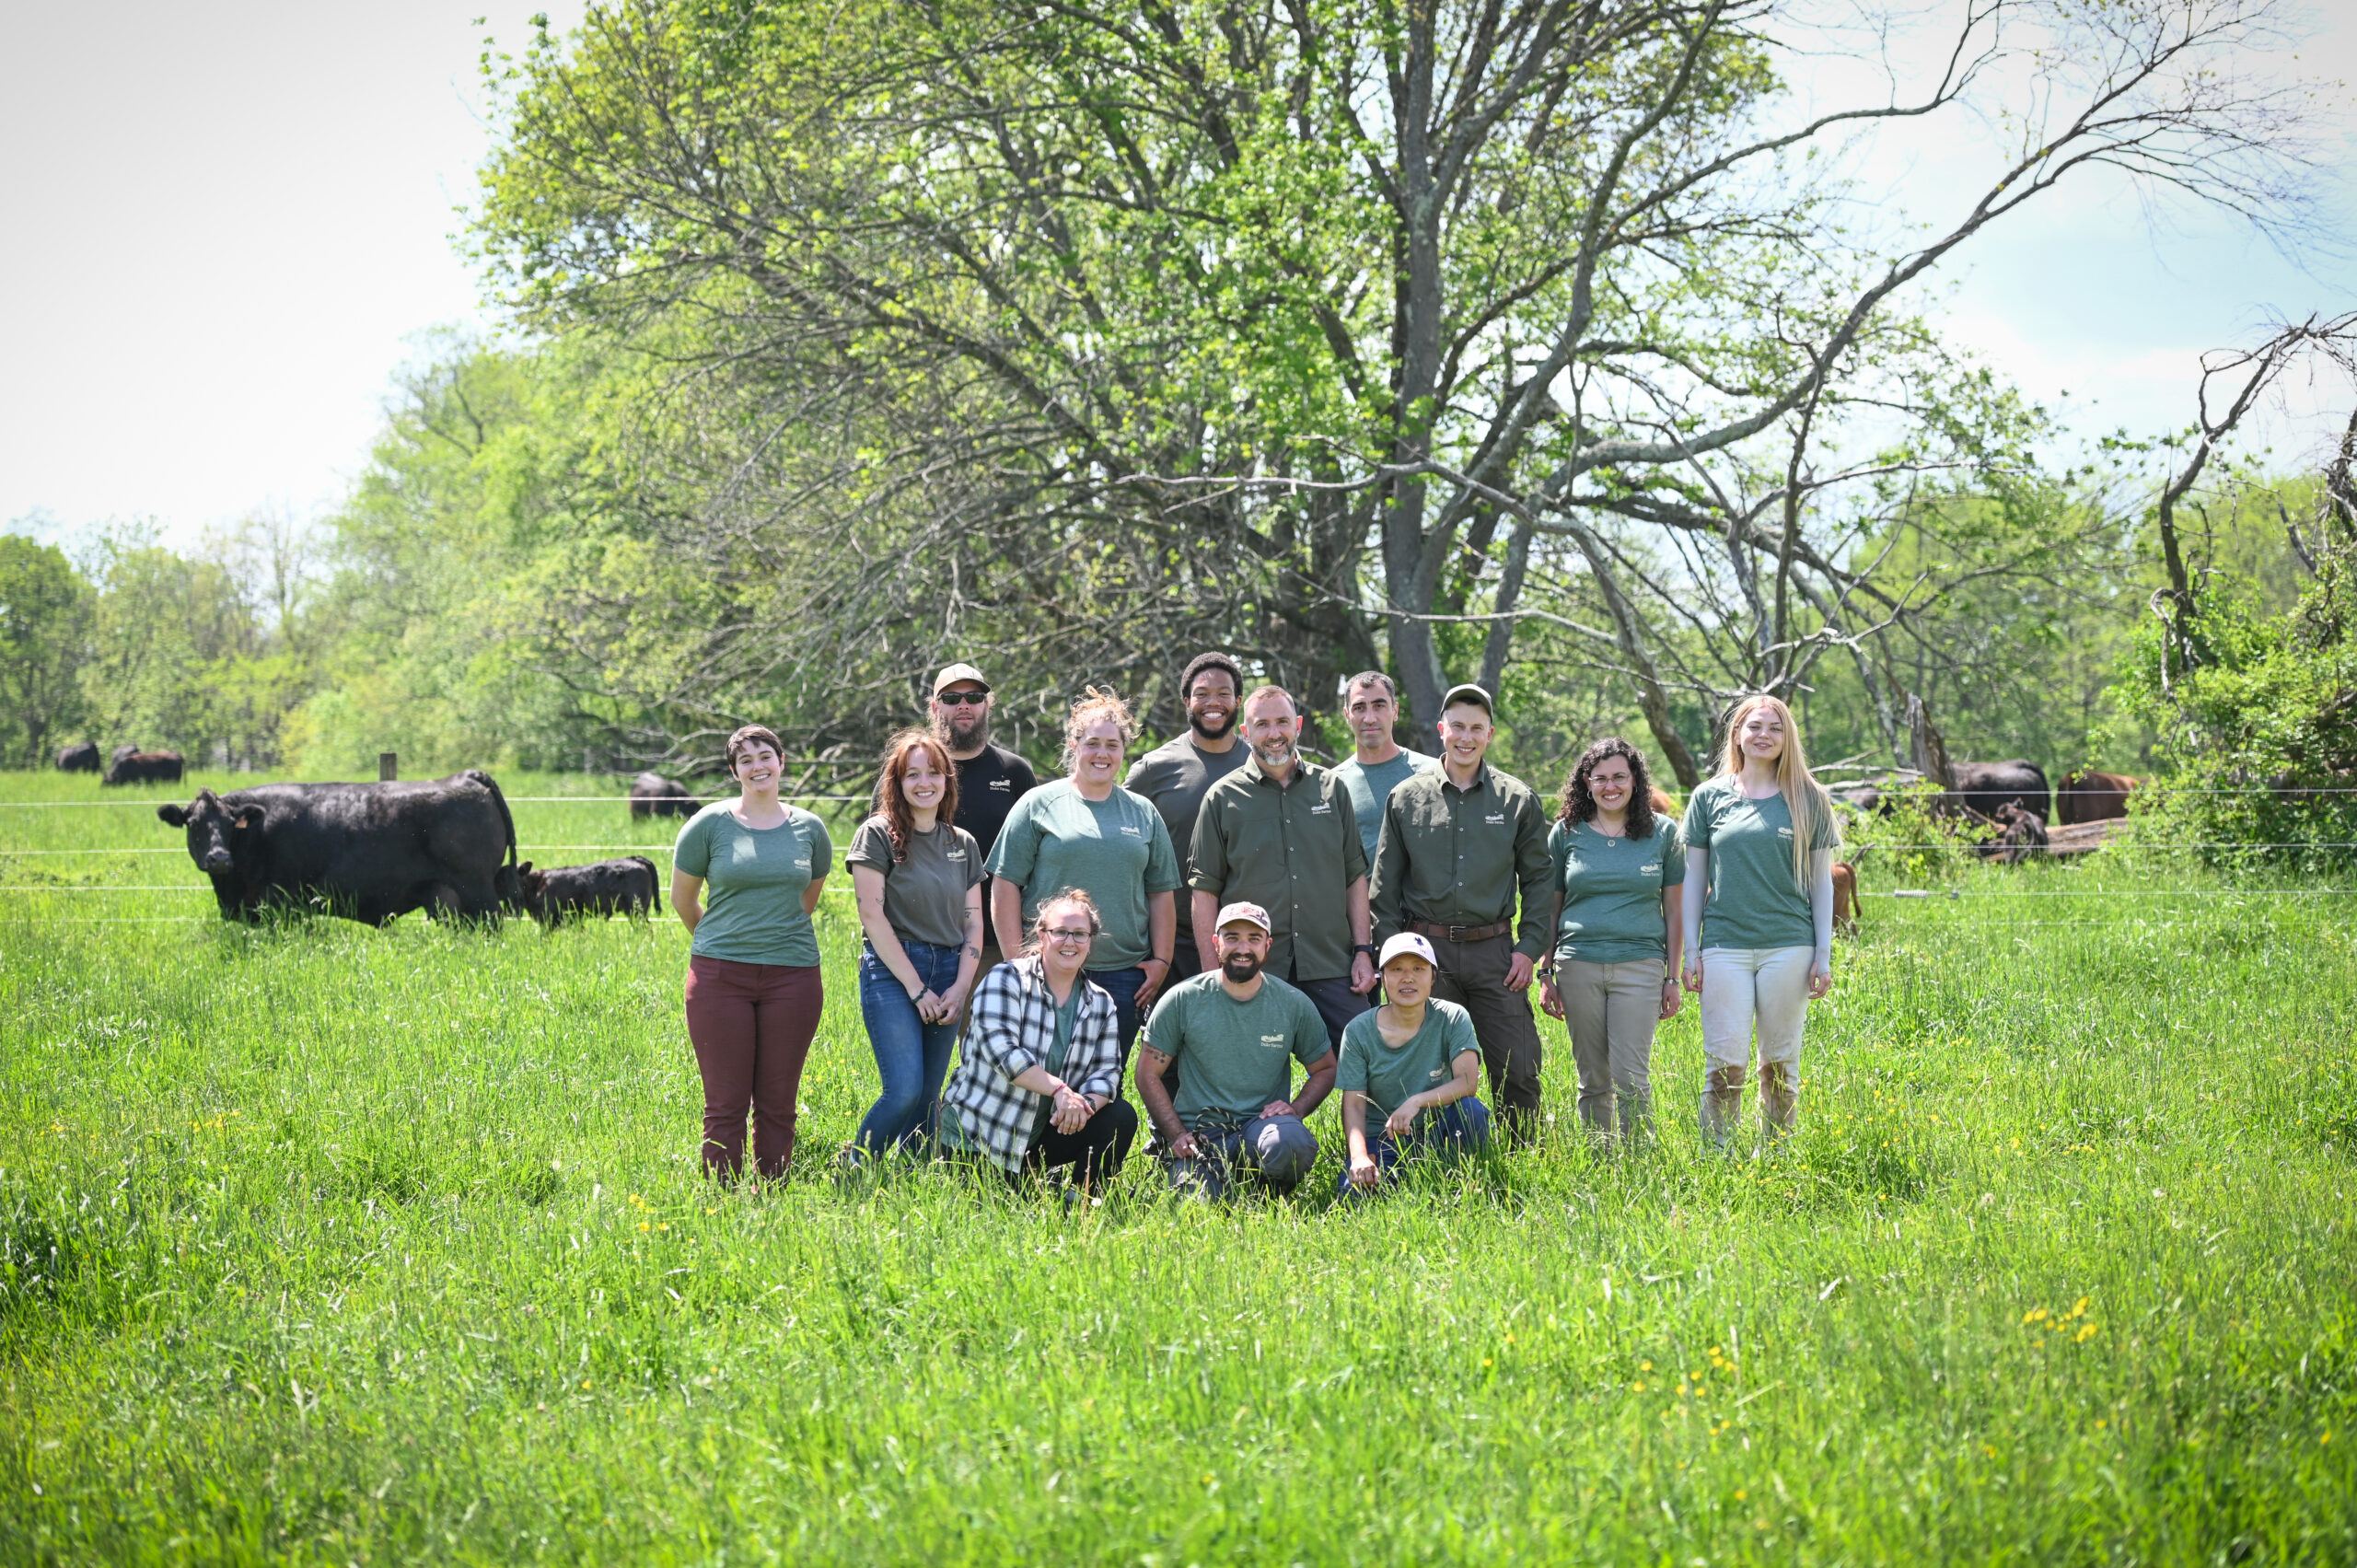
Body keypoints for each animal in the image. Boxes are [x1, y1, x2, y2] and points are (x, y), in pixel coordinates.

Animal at [155, 768, 516, 923]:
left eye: (230, 824)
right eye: (194, 823)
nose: (218, 858)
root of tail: (465, 776)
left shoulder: (280, 904)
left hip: (479, 892)